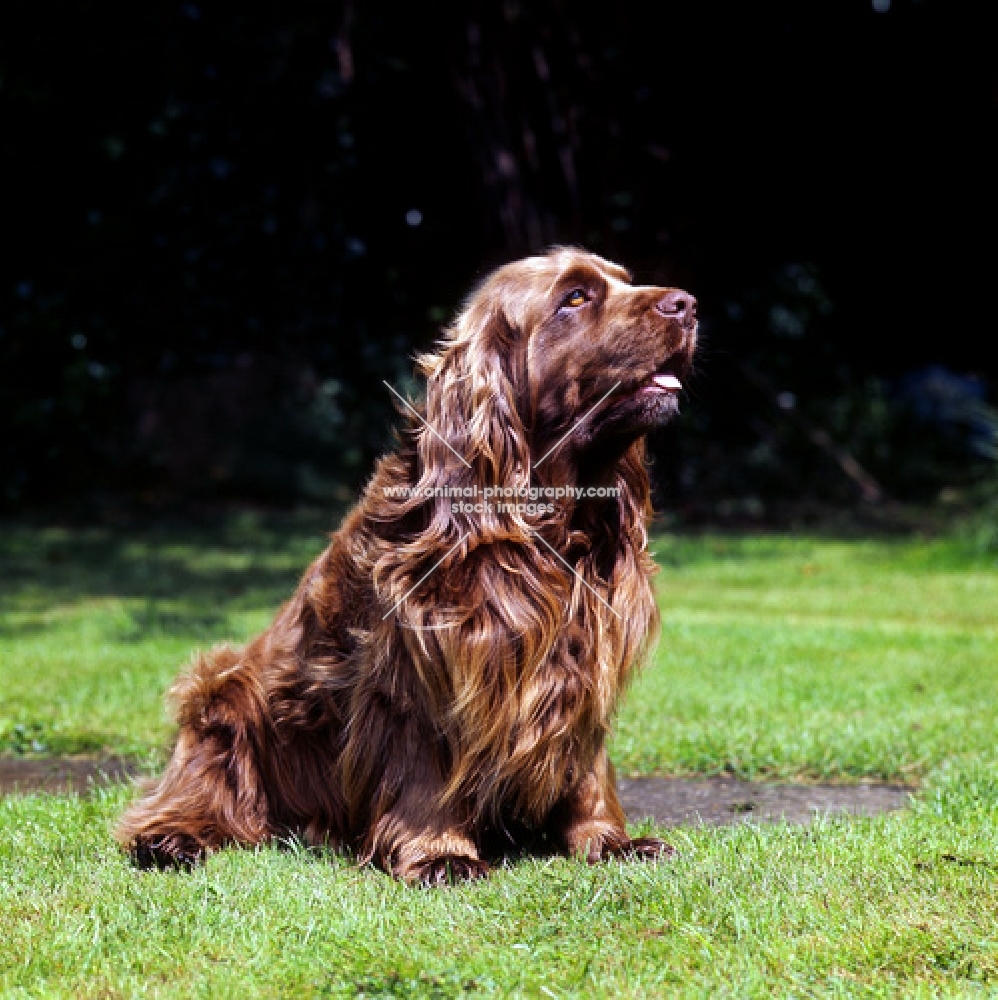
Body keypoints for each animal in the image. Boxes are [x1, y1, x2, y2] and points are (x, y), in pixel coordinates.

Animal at [119, 248, 696, 884]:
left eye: (624, 281)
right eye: (574, 297)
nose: (688, 304)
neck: (543, 525)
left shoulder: (587, 657)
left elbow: (587, 766)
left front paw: (609, 840)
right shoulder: (418, 664)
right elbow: (422, 766)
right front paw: (440, 852)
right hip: (222, 692)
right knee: (190, 795)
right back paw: (169, 838)